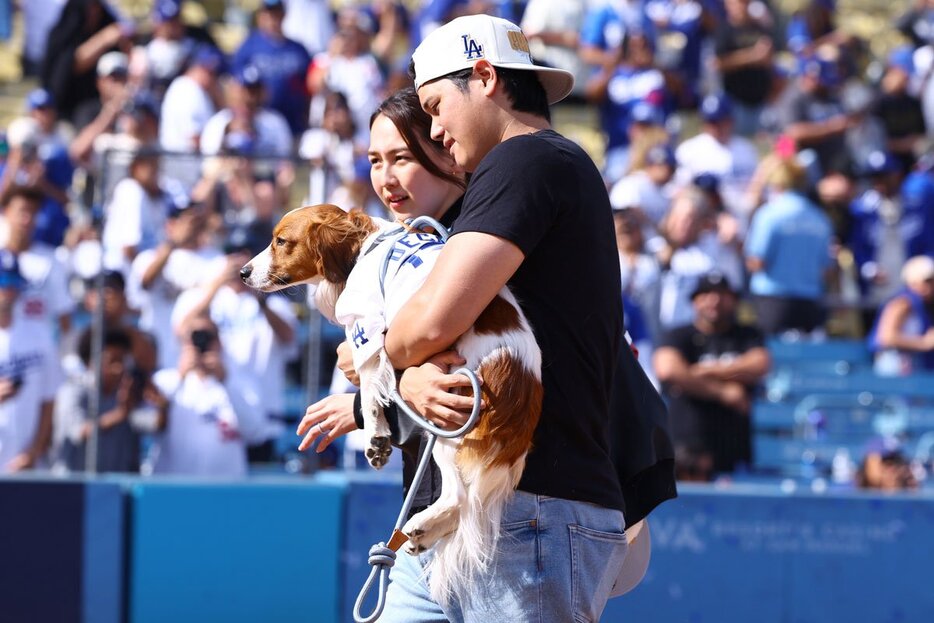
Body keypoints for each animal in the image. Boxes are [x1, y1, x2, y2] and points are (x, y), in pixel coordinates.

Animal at [241, 205, 544, 604]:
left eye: (281, 241)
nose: (242, 272)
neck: (362, 249)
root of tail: (523, 386)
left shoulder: (368, 333)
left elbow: (371, 389)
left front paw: (376, 438)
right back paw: (422, 535)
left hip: (449, 430)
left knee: (459, 497)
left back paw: (421, 524)